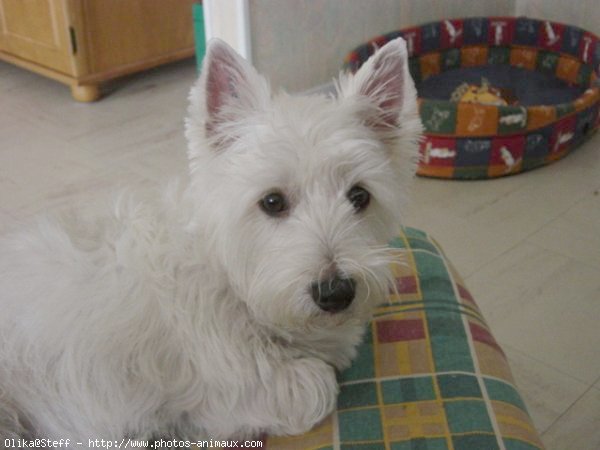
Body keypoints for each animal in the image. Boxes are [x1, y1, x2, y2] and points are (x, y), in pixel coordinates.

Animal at [0, 37, 422, 444]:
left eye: (359, 196)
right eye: (272, 201)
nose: (336, 292)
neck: (231, 277)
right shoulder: (247, 384)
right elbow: (318, 382)